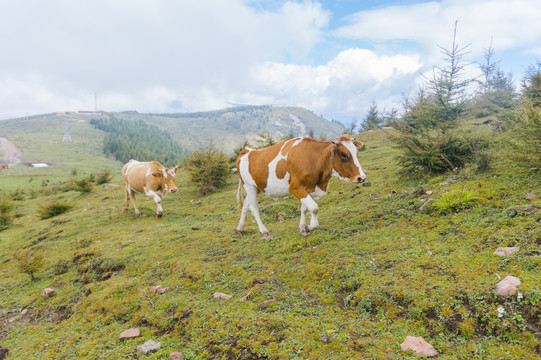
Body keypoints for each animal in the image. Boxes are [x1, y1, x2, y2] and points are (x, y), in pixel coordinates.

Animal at [234, 135, 364, 236]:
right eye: (345, 155)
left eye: (357, 153)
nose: (361, 177)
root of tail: (247, 151)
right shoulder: (295, 187)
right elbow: (314, 208)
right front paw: (310, 226)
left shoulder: (309, 189)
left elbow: (304, 209)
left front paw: (303, 227)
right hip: (249, 186)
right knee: (254, 208)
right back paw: (263, 230)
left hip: (255, 188)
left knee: (245, 206)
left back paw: (240, 228)